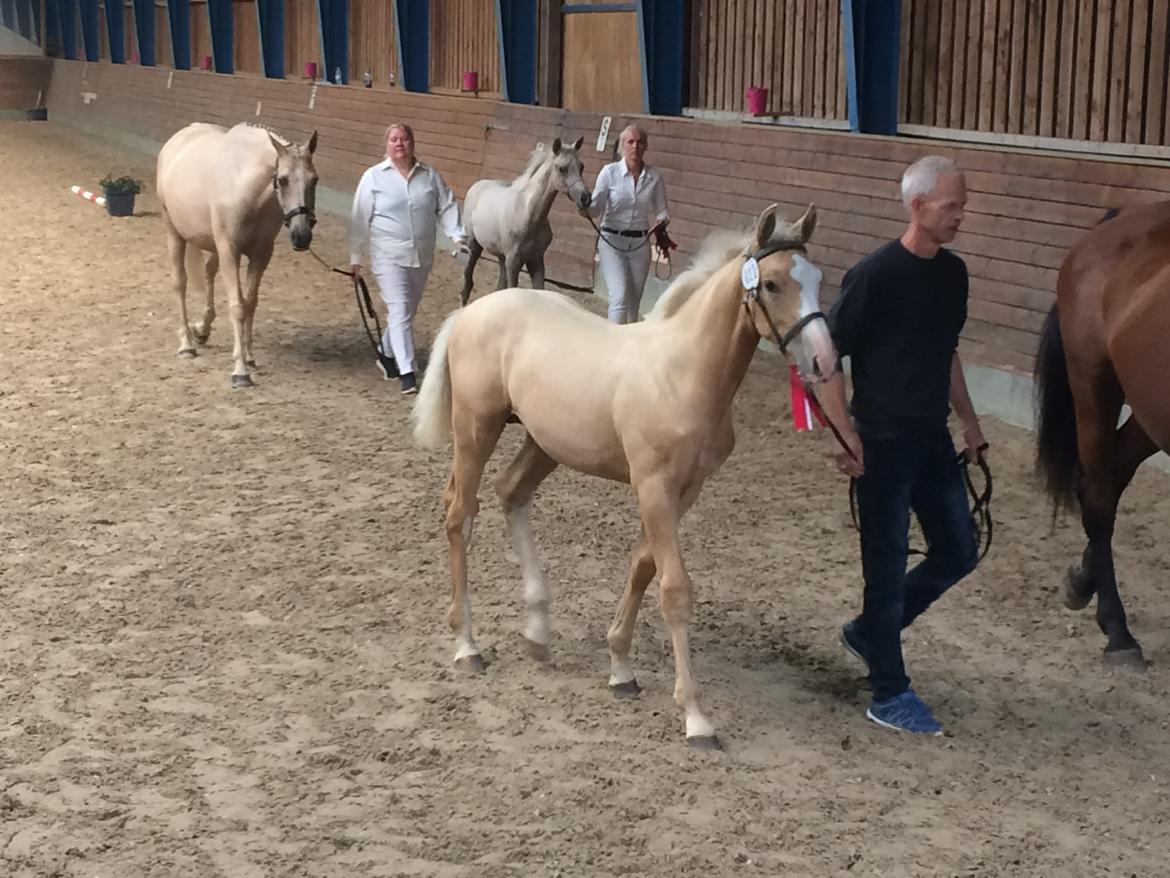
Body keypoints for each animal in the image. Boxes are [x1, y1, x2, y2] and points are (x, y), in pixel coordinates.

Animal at [416, 206, 837, 749]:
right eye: (771, 283)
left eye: (817, 279)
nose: (823, 360)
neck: (682, 373)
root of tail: (470, 314)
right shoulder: (654, 487)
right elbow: (674, 589)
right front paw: (695, 717)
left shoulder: (684, 490)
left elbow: (642, 566)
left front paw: (620, 668)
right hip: (476, 428)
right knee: (460, 513)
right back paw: (467, 644)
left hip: (545, 443)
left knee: (511, 493)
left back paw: (538, 630)